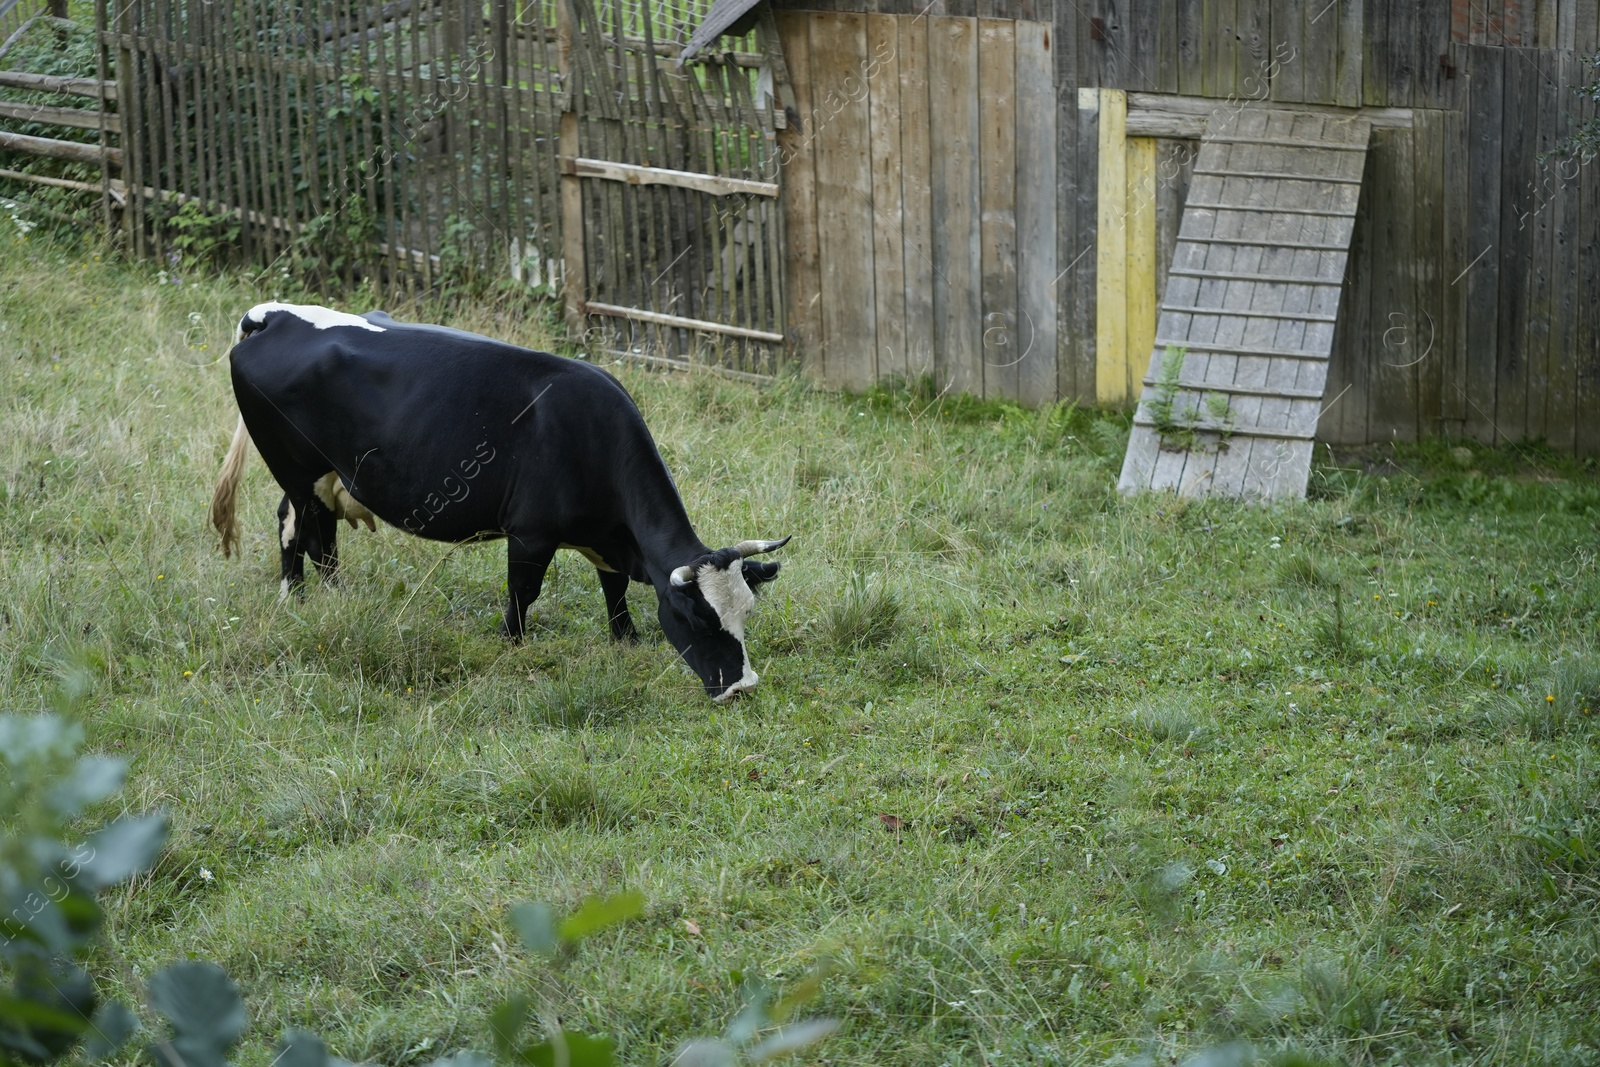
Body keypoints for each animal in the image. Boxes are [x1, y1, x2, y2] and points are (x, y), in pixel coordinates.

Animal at [211, 300, 787, 700]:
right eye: (700, 622)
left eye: (747, 613)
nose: (742, 687)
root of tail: (271, 315)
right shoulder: (530, 534)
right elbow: (522, 594)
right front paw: (512, 646)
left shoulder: (605, 539)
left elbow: (614, 587)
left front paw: (625, 638)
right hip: (297, 472)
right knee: (301, 529)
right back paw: (304, 598)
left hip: (326, 477)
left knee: (311, 530)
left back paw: (325, 596)